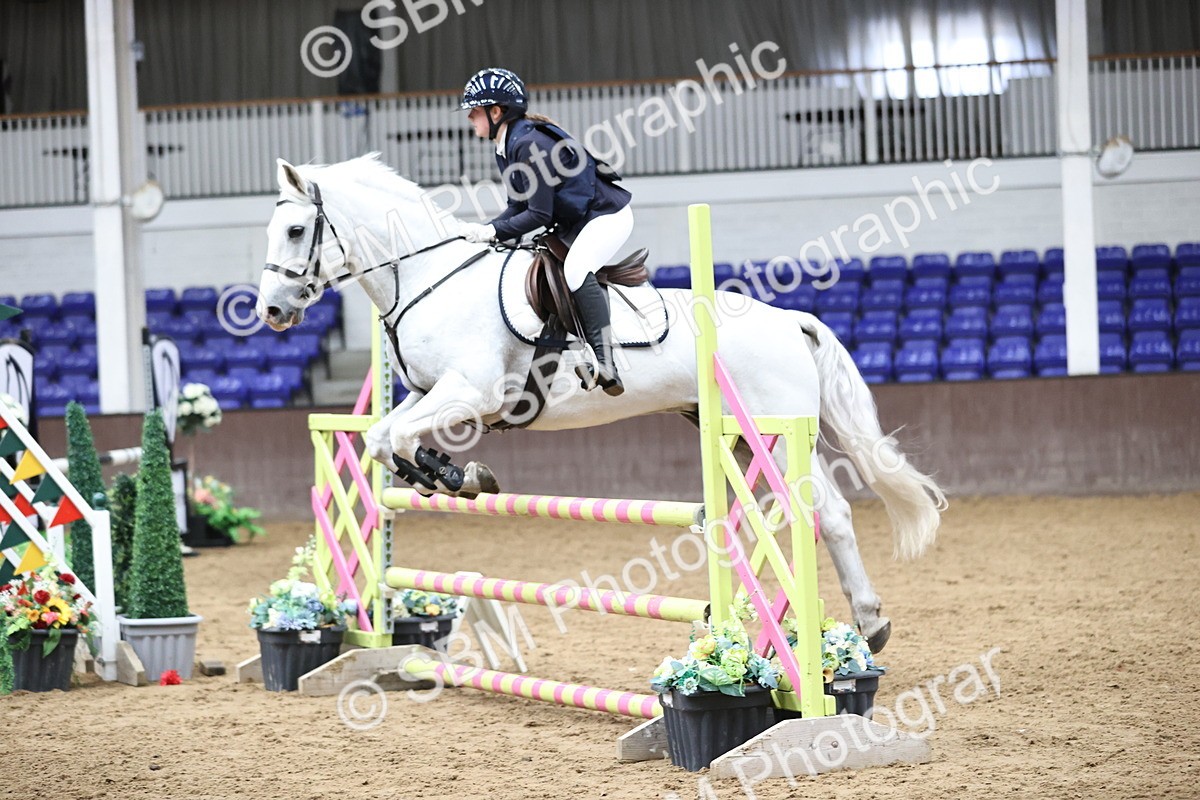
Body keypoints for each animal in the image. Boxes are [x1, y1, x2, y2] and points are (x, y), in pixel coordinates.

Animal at [256, 153, 947, 652]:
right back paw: (865, 624)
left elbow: (397, 438)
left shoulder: (472, 392)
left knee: (827, 513)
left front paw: (454, 474)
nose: (270, 312)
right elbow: (382, 438)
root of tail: (789, 319)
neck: (429, 277)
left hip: (770, 429)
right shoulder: (432, 395)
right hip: (743, 432)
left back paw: (868, 625)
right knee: (823, 512)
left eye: (295, 229)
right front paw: (454, 475)